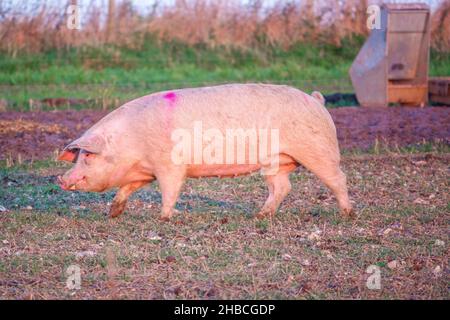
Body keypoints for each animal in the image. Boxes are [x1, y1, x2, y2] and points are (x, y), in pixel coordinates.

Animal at [56, 84, 354, 221]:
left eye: (88, 156)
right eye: (79, 156)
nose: (62, 180)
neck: (130, 141)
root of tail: (316, 100)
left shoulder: (169, 165)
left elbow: (170, 190)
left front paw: (165, 217)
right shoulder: (143, 172)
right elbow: (125, 189)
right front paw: (113, 213)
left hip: (318, 149)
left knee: (338, 178)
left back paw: (347, 213)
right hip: (275, 163)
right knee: (282, 187)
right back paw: (259, 215)